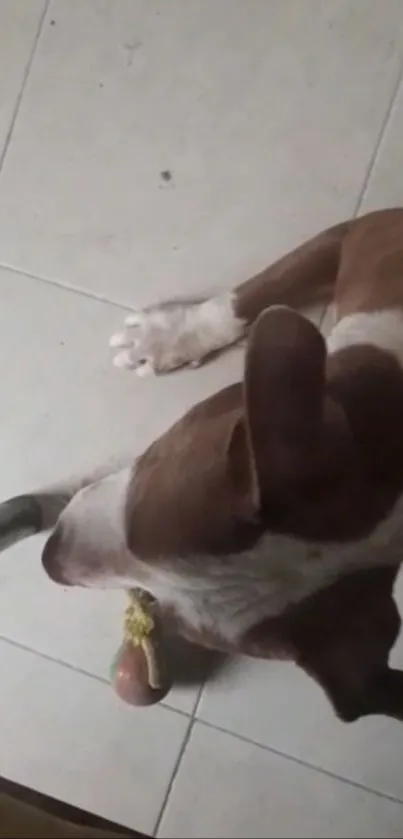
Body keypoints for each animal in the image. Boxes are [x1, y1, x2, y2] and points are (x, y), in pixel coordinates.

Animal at [2, 208, 403, 720]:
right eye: (152, 468)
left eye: (172, 618)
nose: (50, 559)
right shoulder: (367, 230)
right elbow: (255, 295)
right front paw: (168, 337)